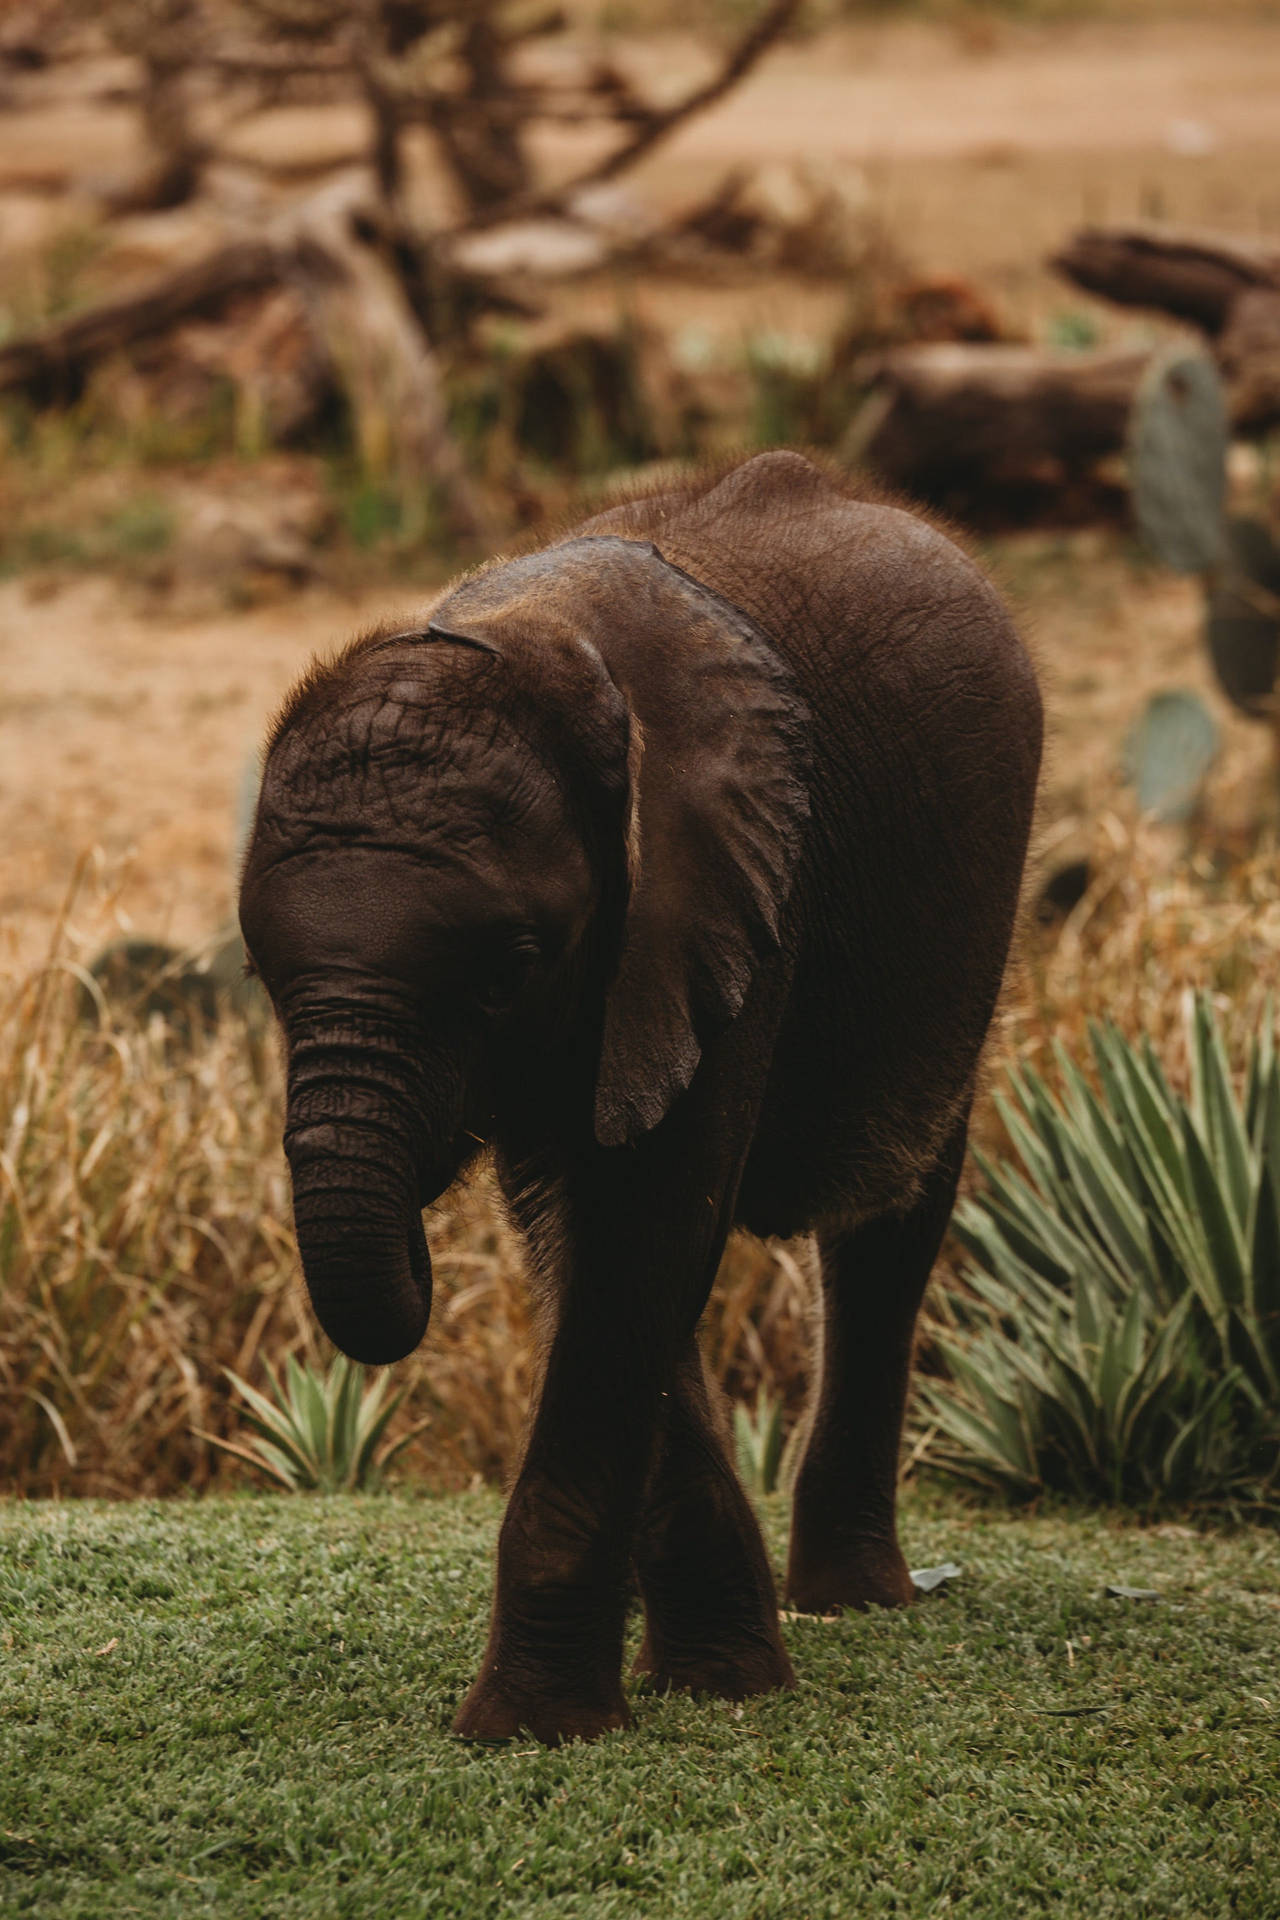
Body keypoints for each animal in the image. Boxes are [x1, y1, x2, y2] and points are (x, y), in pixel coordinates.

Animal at [238, 450, 1042, 1746]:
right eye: (262, 976)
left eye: (507, 971)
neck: (528, 639)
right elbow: (591, 1244)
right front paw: (716, 1677)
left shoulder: (731, 891)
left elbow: (643, 1222)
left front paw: (532, 1729)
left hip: (968, 914)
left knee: (889, 1216)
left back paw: (856, 1601)